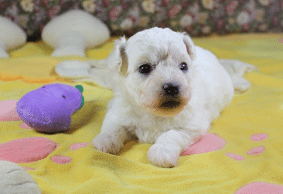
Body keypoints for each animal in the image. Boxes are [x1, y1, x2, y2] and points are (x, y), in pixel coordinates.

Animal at [56, 26, 258, 167]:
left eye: (183, 66)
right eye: (144, 68)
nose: (172, 87)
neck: (153, 113)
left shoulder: (191, 126)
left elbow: (171, 135)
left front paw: (161, 153)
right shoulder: (119, 112)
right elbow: (113, 127)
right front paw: (105, 141)